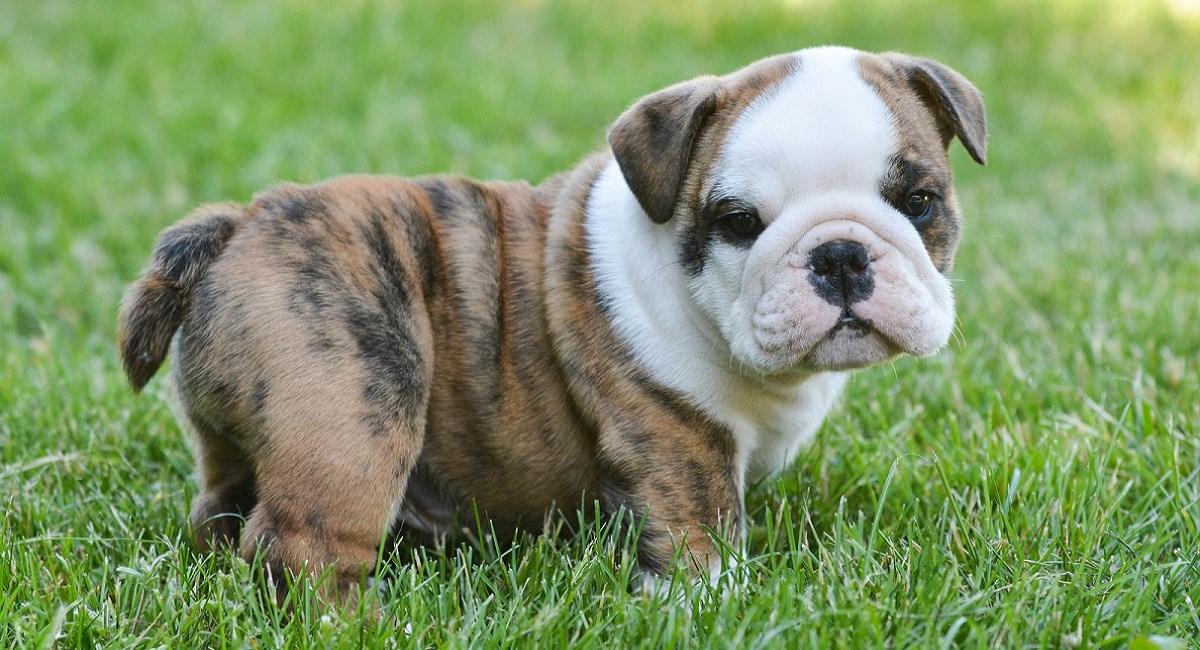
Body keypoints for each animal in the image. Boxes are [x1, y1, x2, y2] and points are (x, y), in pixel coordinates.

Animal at [119, 47, 984, 606]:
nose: (840, 255)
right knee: (302, 545)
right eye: (739, 221)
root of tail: (240, 223)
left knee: (224, 510)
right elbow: (702, 532)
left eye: (920, 202)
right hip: (354, 407)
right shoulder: (678, 438)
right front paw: (714, 601)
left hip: (246, 435)